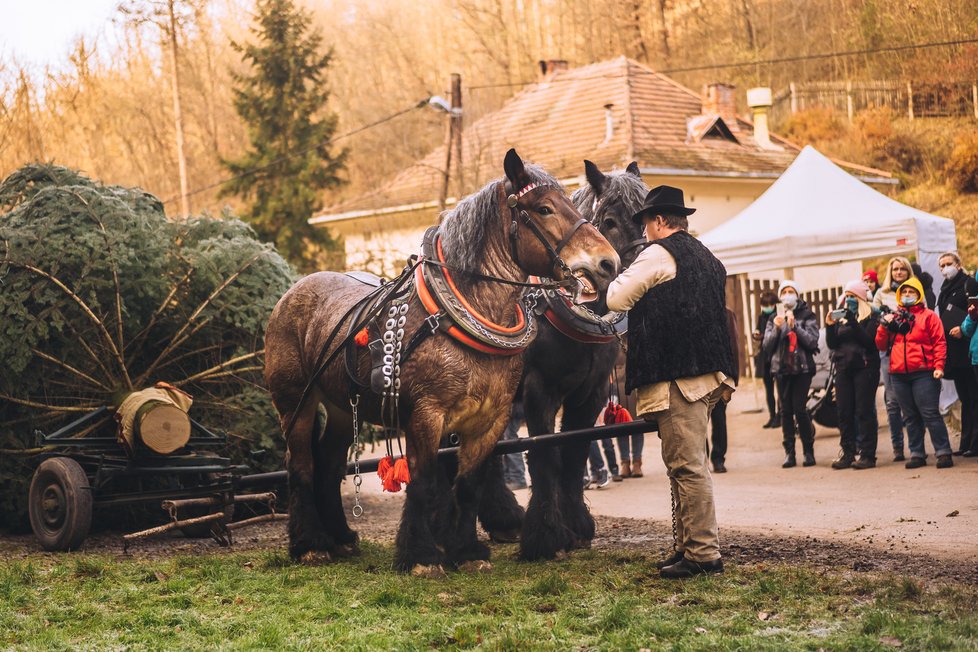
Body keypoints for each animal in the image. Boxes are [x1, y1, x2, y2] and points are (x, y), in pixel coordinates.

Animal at [264, 149, 616, 576]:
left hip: (342, 406)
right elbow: (424, 482)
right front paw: (420, 555)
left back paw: (342, 537)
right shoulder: (426, 416)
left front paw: (466, 551)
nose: (608, 262)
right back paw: (311, 544)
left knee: (330, 463)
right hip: (294, 403)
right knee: (300, 464)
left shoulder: (490, 419)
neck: (459, 315)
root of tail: (294, 289)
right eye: (544, 208)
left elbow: (468, 485)